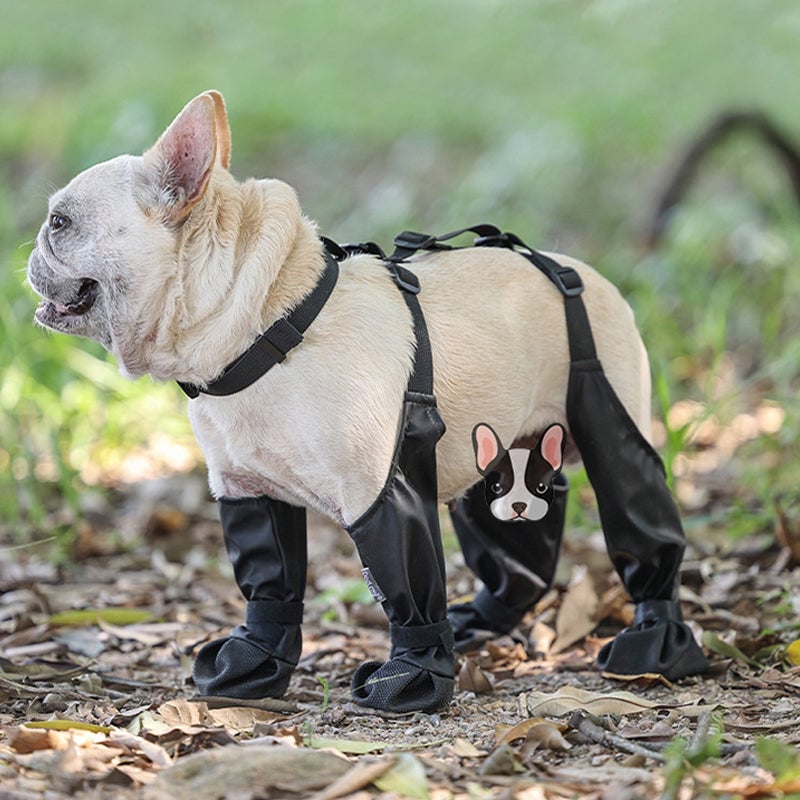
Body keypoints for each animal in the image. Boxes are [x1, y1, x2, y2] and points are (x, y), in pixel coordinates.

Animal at [26, 90, 648, 528]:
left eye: (60, 221)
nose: (31, 249)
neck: (269, 331)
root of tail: (589, 276)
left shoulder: (378, 498)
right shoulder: (244, 490)